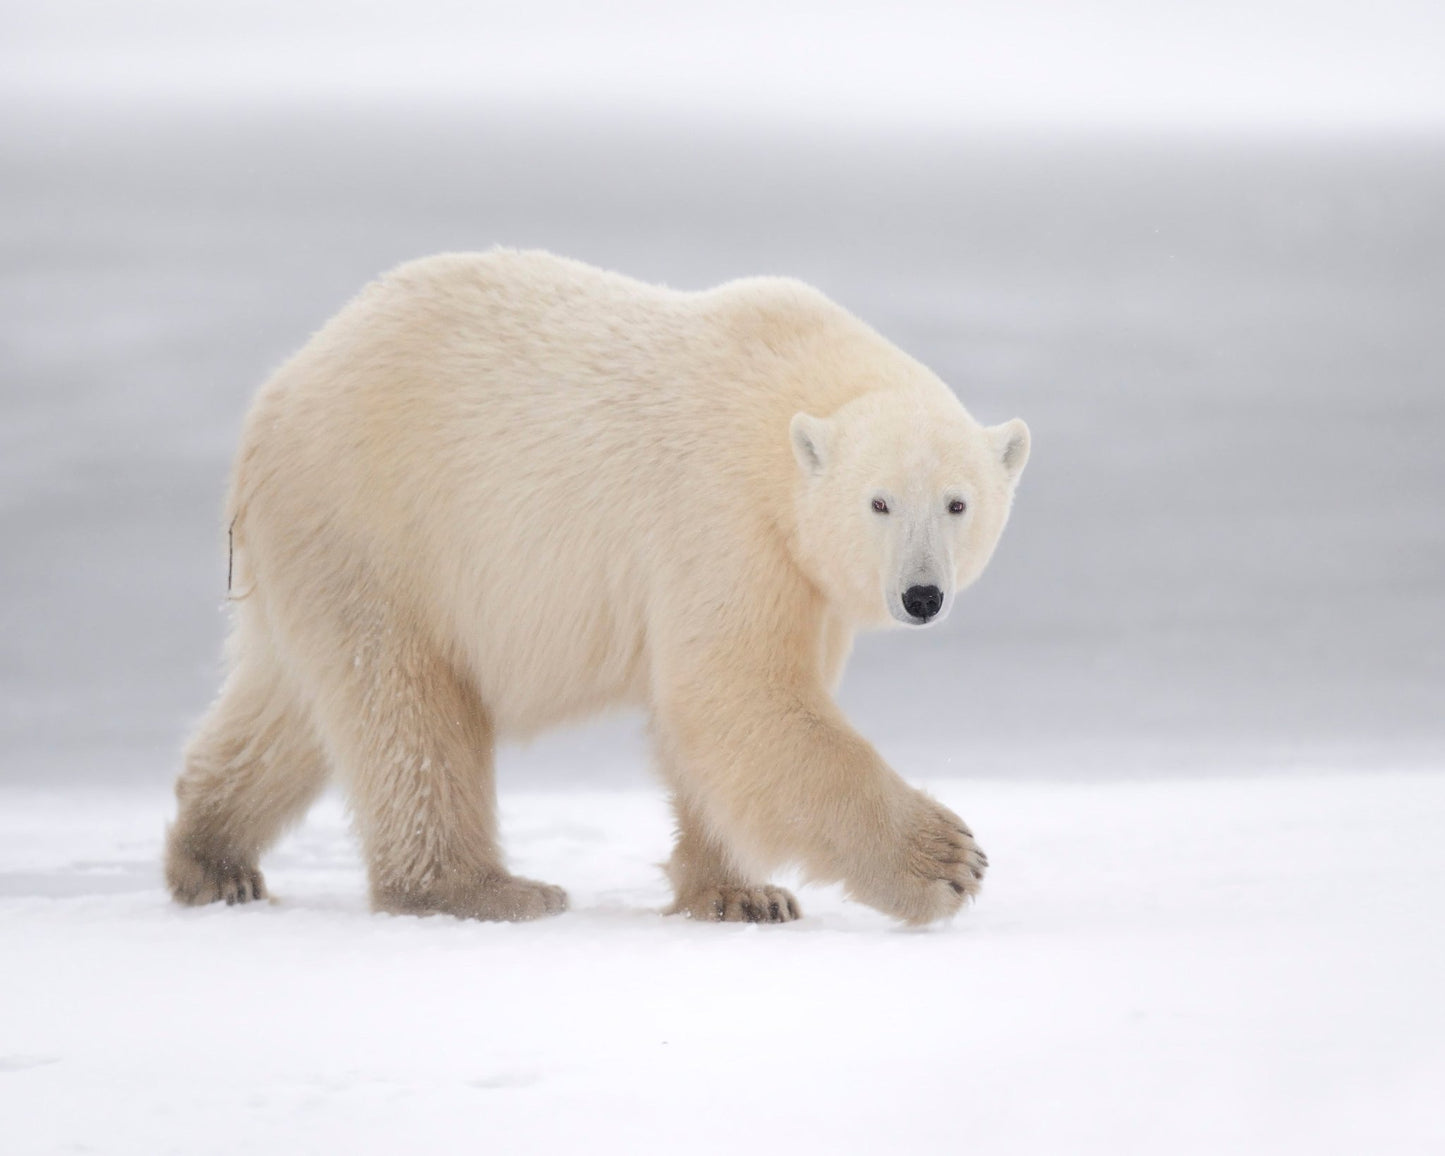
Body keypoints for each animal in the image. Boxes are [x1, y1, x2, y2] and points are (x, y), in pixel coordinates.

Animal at [165, 249, 1030, 926]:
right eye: (877, 502)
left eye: (957, 503)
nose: (921, 596)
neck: (784, 394)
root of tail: (274, 399)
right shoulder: (721, 516)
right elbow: (734, 691)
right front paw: (947, 860)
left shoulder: (803, 576)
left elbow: (720, 718)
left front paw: (741, 894)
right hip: (382, 522)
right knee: (408, 713)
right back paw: (486, 889)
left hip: (320, 550)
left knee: (287, 708)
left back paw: (212, 859)